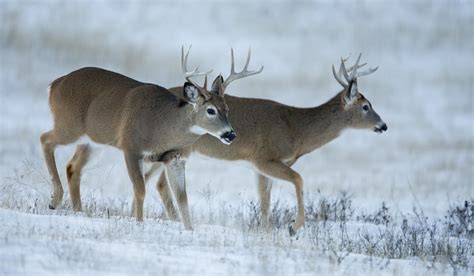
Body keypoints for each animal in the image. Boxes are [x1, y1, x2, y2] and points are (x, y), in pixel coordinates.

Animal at [41, 46, 262, 230]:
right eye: (210, 110)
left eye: (227, 109)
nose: (230, 134)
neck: (161, 127)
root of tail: (55, 83)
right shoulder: (131, 147)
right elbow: (140, 189)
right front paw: (139, 223)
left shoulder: (174, 159)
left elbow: (182, 199)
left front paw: (189, 230)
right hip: (69, 125)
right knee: (45, 139)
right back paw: (55, 199)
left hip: (94, 141)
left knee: (73, 167)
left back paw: (77, 210)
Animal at [146, 53, 386, 235]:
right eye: (366, 106)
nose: (383, 126)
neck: (297, 130)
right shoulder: (264, 158)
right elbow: (298, 180)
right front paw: (293, 227)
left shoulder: (261, 167)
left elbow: (265, 202)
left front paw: (265, 232)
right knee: (156, 181)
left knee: (157, 182)